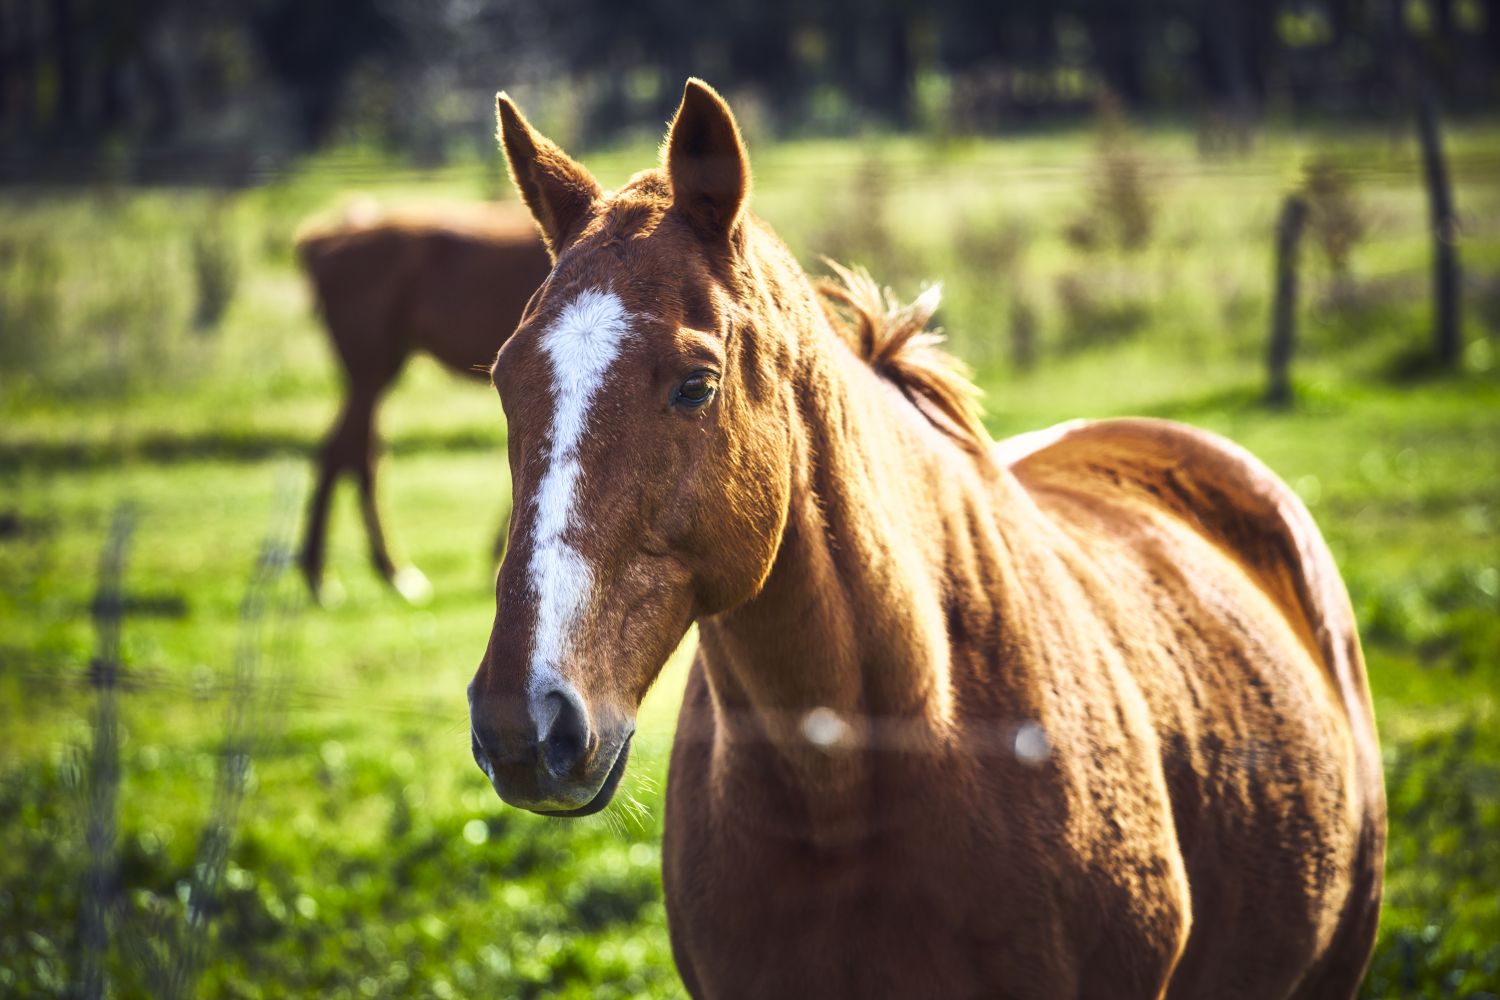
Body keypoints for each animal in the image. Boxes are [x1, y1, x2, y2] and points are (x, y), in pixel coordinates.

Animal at [295, 200, 552, 604]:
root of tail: (322, 240)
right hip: (369, 369)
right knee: (343, 454)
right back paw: (338, 575)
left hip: (378, 369)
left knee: (356, 455)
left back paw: (377, 571)